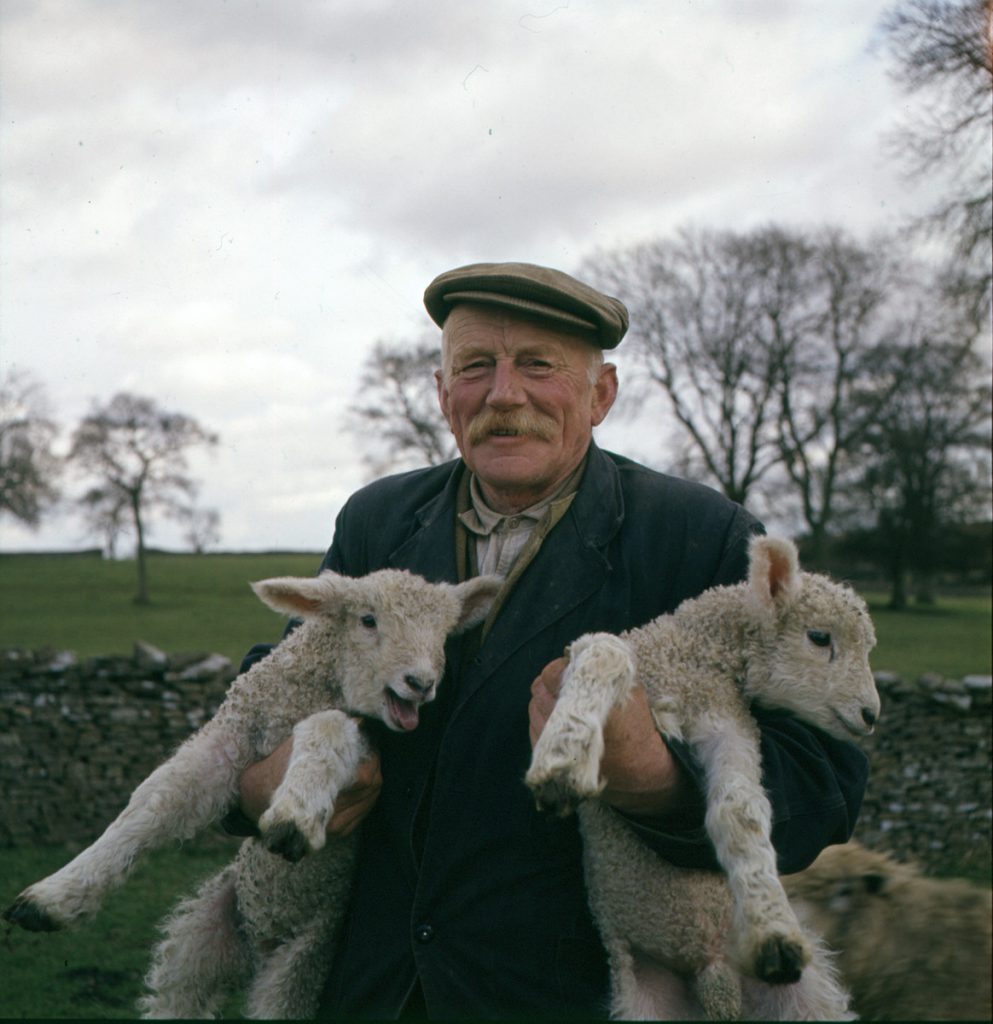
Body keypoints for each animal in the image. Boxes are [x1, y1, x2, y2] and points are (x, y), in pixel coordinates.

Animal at [5, 569, 503, 1015]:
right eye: (368, 620)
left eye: (445, 633)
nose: (421, 683)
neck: (305, 692)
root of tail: (255, 952)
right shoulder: (231, 739)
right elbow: (158, 798)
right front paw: (54, 896)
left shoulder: (365, 744)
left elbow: (326, 730)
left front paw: (295, 815)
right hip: (196, 942)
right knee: (177, 998)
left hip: (298, 968)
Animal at [522, 532, 880, 1019]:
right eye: (820, 637)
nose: (871, 714)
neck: (692, 660)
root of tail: (716, 982)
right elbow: (602, 651)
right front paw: (565, 753)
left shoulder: (727, 723)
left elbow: (740, 810)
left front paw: (773, 930)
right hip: (643, 999)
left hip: (806, 998)